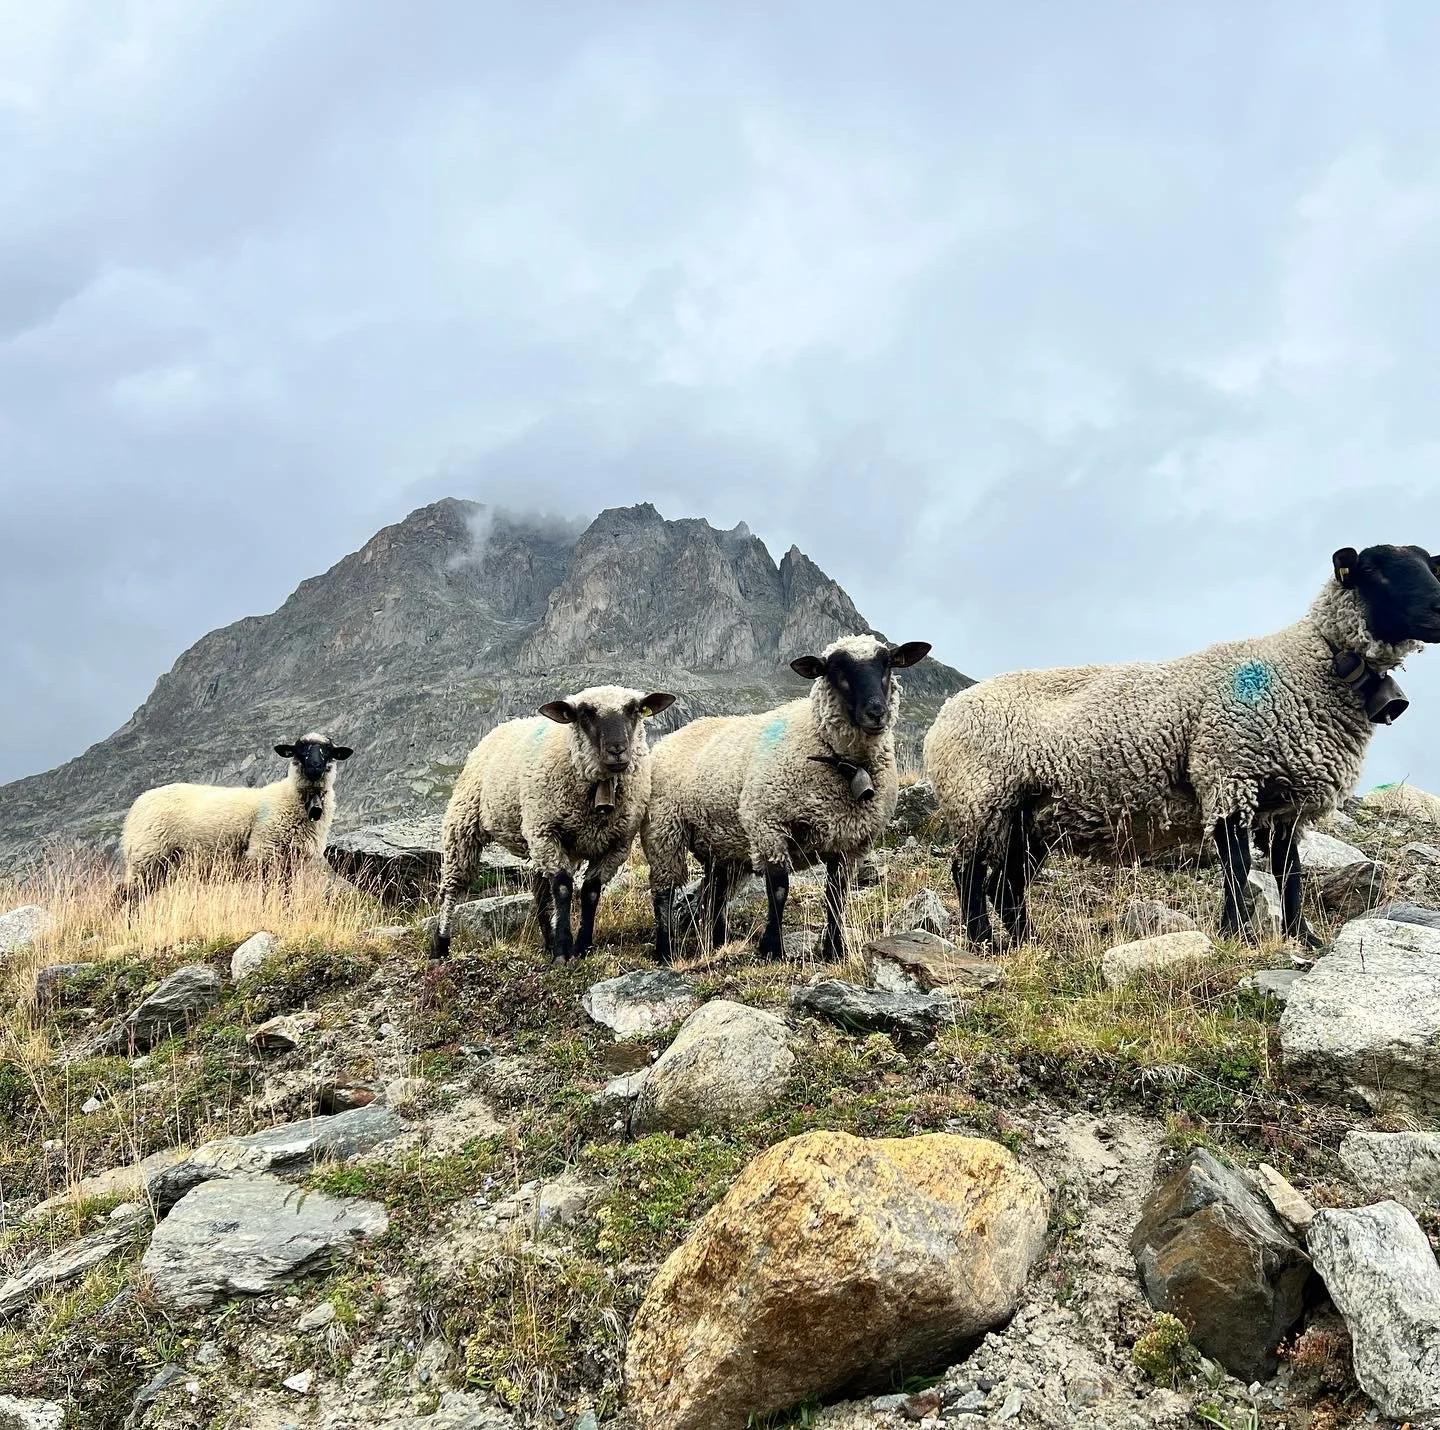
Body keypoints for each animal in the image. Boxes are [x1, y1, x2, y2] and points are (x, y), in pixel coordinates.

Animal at [119, 732, 353, 894]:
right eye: (299, 750)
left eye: (328, 751)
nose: (314, 767)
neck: (290, 798)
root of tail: (137, 804)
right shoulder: (264, 853)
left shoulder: (289, 863)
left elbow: (286, 894)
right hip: (146, 856)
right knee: (122, 896)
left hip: (160, 867)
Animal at [430, 686, 676, 962]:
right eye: (585, 713)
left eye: (633, 710)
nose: (617, 750)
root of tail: (504, 725)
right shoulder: (547, 832)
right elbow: (563, 888)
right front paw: (562, 950)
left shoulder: (616, 845)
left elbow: (590, 891)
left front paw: (581, 947)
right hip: (465, 823)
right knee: (452, 888)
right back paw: (440, 946)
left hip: (533, 837)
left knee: (540, 893)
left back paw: (547, 941)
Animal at [642, 634, 932, 963]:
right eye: (835, 669)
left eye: (888, 663)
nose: (876, 712)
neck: (842, 762)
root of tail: (673, 735)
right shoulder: (768, 825)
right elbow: (779, 889)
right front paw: (772, 948)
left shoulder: (849, 843)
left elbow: (837, 896)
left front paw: (835, 950)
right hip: (665, 831)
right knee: (664, 893)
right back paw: (665, 951)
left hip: (721, 844)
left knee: (713, 892)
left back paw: (717, 942)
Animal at [924, 543, 1440, 948]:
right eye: (1375, 570)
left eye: (1428, 565)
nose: (1439, 610)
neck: (1312, 662)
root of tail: (945, 714)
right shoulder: (1228, 772)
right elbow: (1238, 866)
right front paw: (1237, 935)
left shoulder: (1285, 804)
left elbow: (1287, 872)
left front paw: (1303, 937)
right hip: (980, 796)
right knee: (969, 872)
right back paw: (983, 942)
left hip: (1028, 814)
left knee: (1008, 882)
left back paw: (1026, 943)